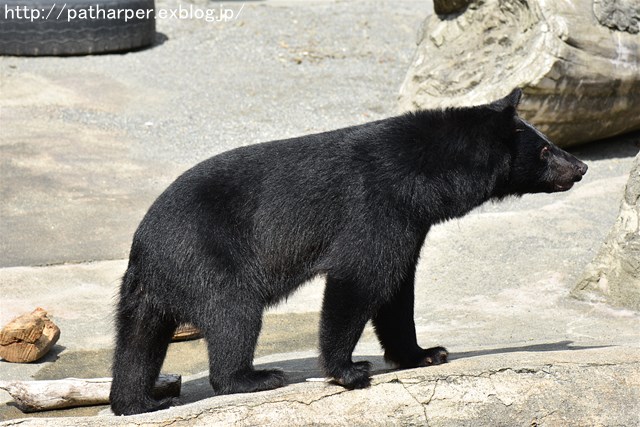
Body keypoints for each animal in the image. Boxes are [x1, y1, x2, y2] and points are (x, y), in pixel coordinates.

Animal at [109, 88, 584, 416]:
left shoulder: (409, 222)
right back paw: (255, 377)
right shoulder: (377, 205)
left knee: (138, 341)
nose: (580, 167)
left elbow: (398, 291)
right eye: (545, 149)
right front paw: (350, 371)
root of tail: (143, 249)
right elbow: (359, 279)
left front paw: (426, 353)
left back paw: (139, 402)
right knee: (233, 314)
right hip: (210, 257)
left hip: (146, 292)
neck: (424, 178)